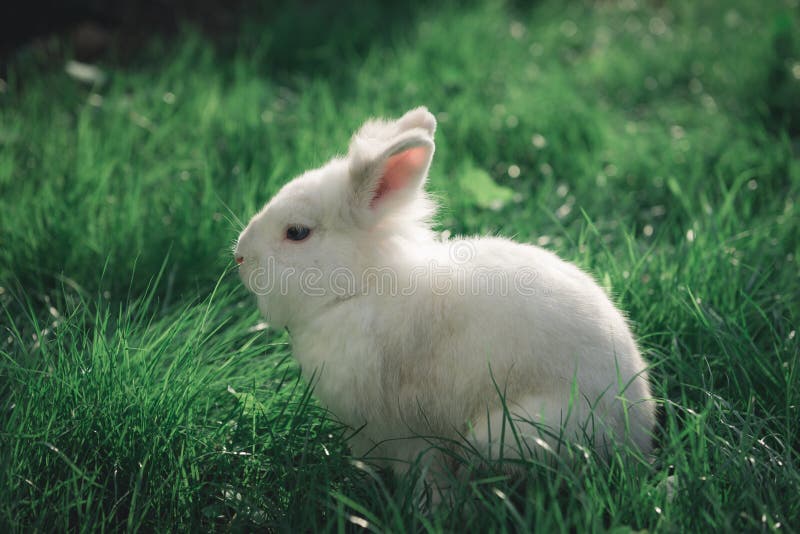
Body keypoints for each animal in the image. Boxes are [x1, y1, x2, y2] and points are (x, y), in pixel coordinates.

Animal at [234, 106, 656, 488]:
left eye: (297, 233)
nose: (239, 256)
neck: (361, 289)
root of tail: (636, 434)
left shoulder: (407, 434)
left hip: (512, 431)